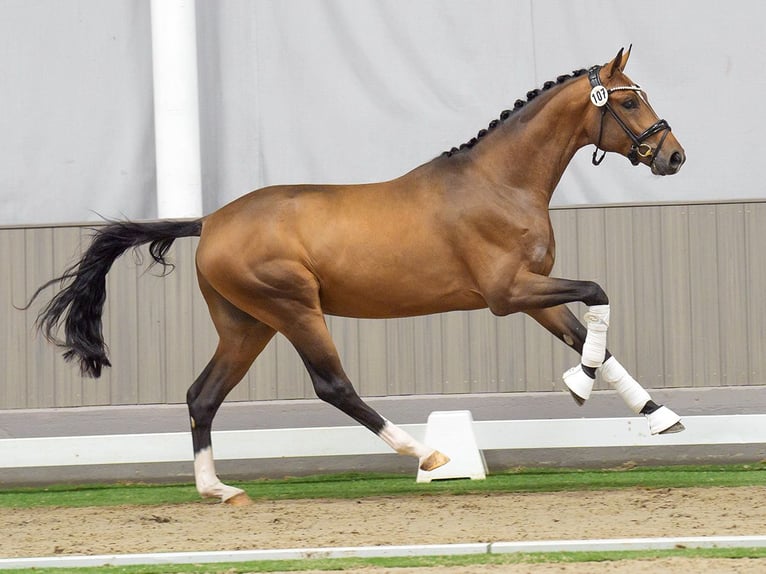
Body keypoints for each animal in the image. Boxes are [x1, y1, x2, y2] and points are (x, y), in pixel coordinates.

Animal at [30, 50, 688, 508]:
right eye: (629, 102)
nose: (673, 156)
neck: (500, 182)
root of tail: (210, 220)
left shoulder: (533, 293)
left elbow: (587, 333)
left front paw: (658, 416)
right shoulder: (508, 294)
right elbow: (598, 296)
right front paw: (579, 385)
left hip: (246, 325)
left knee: (202, 395)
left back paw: (218, 491)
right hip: (295, 310)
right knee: (332, 386)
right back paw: (429, 454)